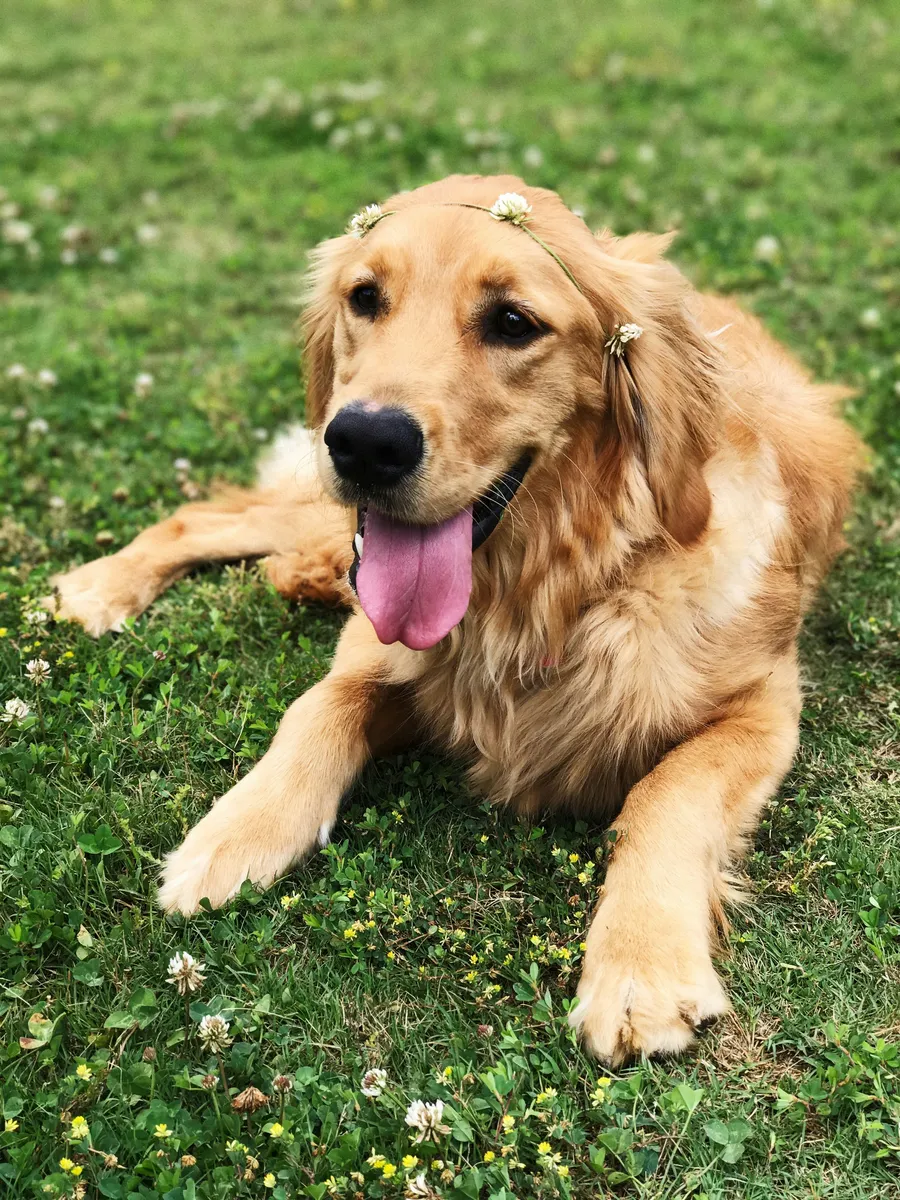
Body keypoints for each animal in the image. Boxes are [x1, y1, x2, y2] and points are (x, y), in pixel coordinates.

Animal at [45, 175, 864, 1060]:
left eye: (512, 321)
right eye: (365, 298)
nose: (365, 442)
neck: (545, 594)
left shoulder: (764, 704)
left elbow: (667, 791)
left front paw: (641, 967)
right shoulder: (385, 651)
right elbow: (319, 706)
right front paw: (235, 833)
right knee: (204, 516)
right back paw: (98, 587)